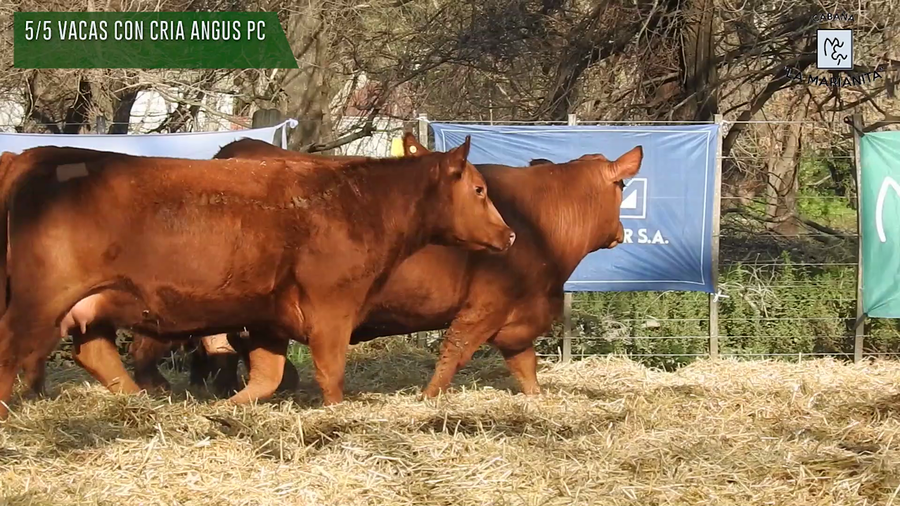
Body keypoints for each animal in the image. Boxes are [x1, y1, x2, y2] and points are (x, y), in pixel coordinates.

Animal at [0, 138, 515, 419]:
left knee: (96, 354)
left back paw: (142, 403)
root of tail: (34, 155)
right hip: (38, 297)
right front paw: (337, 415)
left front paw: (221, 411)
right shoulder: (331, 308)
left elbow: (267, 377)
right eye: (479, 189)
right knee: (12, 349)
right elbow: (331, 374)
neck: (359, 200)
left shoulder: (268, 317)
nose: (509, 234)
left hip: (93, 304)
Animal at [131, 132, 643, 400]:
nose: (621, 232)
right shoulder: (485, 305)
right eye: (621, 188)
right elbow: (453, 354)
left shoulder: (517, 319)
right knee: (165, 345)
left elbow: (526, 368)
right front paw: (428, 402)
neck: (537, 221)